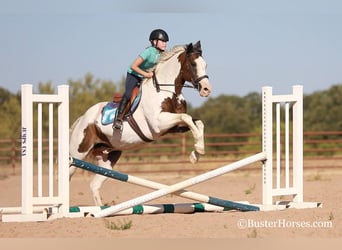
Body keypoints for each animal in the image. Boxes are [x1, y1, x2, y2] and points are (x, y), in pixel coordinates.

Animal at [68, 40, 212, 205]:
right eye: (193, 64)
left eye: (205, 64)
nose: (207, 89)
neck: (167, 91)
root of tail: (82, 118)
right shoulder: (158, 124)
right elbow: (186, 117)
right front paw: (197, 151)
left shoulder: (173, 127)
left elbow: (197, 122)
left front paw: (197, 153)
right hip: (78, 152)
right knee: (68, 175)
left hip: (108, 158)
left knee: (94, 185)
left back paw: (100, 209)